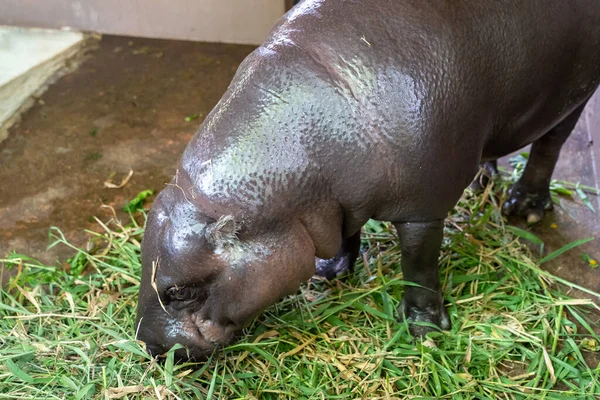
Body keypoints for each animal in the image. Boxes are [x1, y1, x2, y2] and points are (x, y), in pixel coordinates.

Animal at [136, 0, 600, 360]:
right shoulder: (335, 201)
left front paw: (424, 331)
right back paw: (481, 183)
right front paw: (328, 272)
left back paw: (525, 209)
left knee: (549, 146)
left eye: (181, 291)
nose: (150, 347)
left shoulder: (421, 210)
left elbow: (418, 267)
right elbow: (346, 232)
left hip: (573, 96)